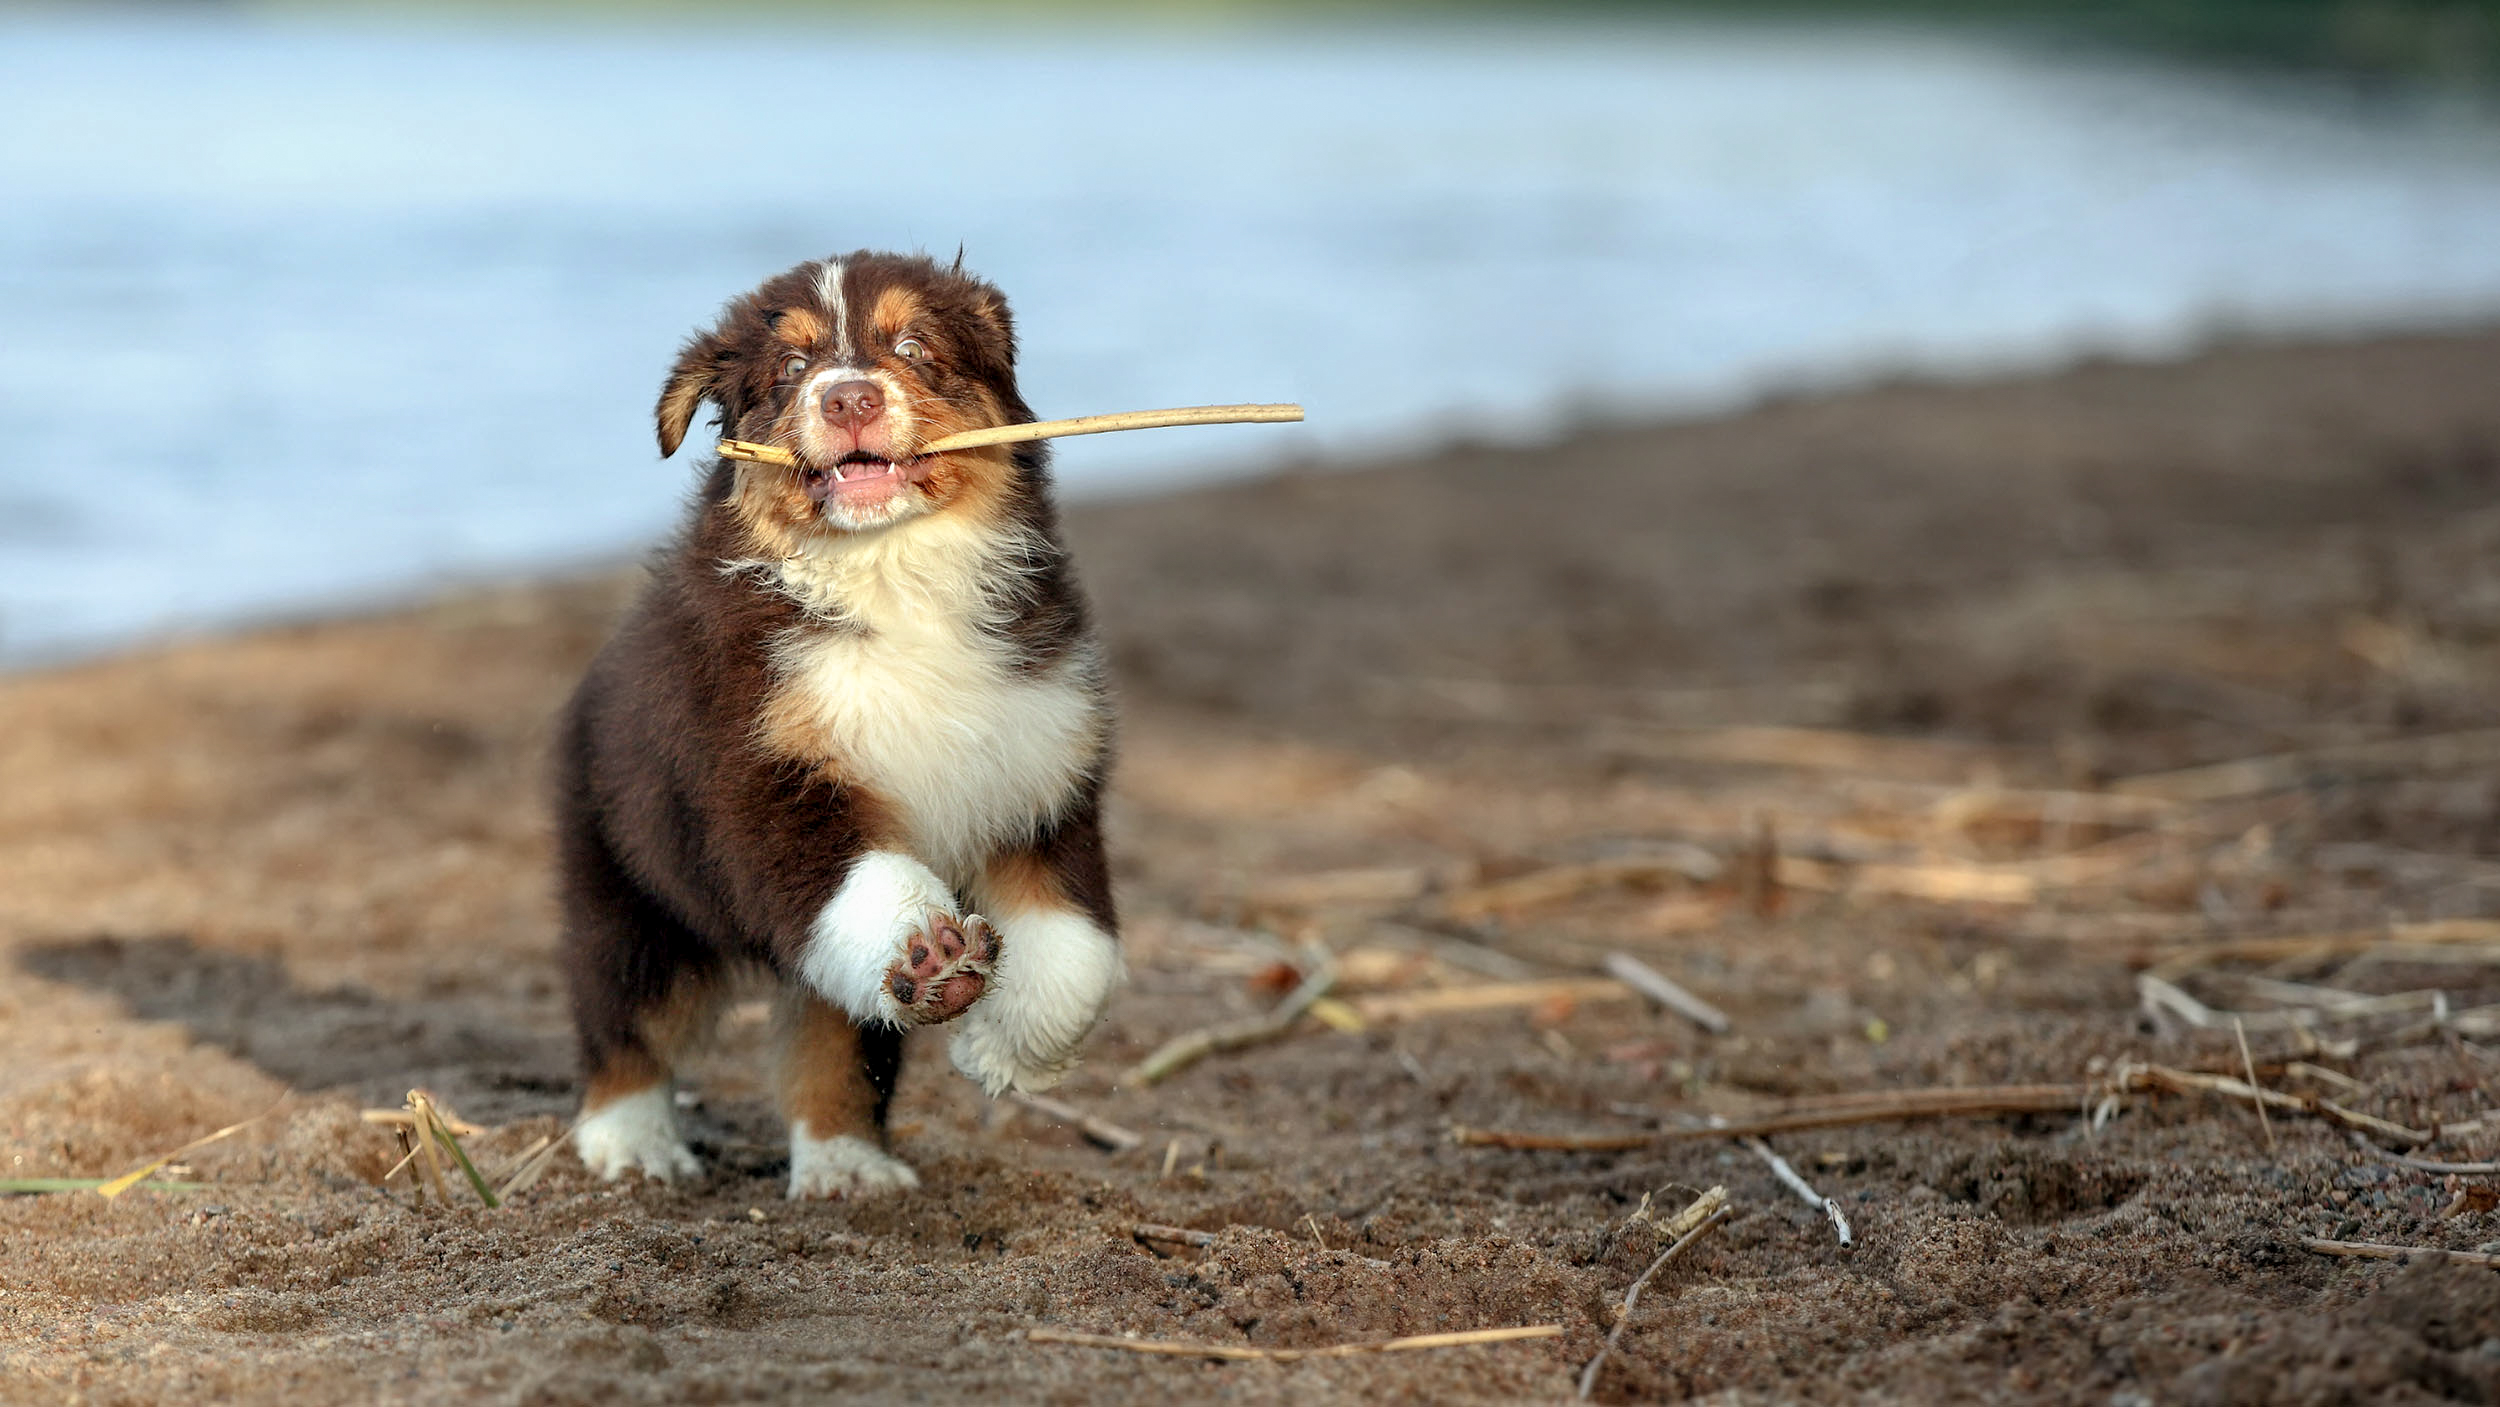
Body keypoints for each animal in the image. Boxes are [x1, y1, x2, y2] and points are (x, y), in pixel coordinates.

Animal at [567, 253, 1125, 1199]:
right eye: (791, 368)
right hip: (631, 882)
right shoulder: (761, 781)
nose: (849, 398)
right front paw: (929, 947)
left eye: (914, 347)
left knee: (835, 1038)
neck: (892, 575)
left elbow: (1079, 952)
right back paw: (632, 1142)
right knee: (627, 1018)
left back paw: (846, 1162)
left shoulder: (1041, 768)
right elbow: (870, 882)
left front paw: (1001, 1050)